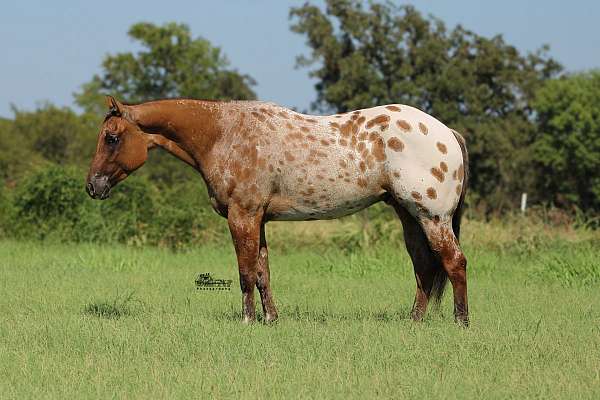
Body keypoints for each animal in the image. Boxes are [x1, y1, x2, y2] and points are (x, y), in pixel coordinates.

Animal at [85, 96, 468, 324]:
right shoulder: (259, 219)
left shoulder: (242, 216)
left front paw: (247, 320)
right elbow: (262, 273)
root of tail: (446, 131)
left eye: (112, 137)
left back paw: (461, 322)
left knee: (454, 263)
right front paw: (270, 319)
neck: (223, 133)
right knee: (423, 265)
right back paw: (414, 321)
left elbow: (244, 273)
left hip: (432, 217)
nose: (92, 186)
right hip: (409, 216)